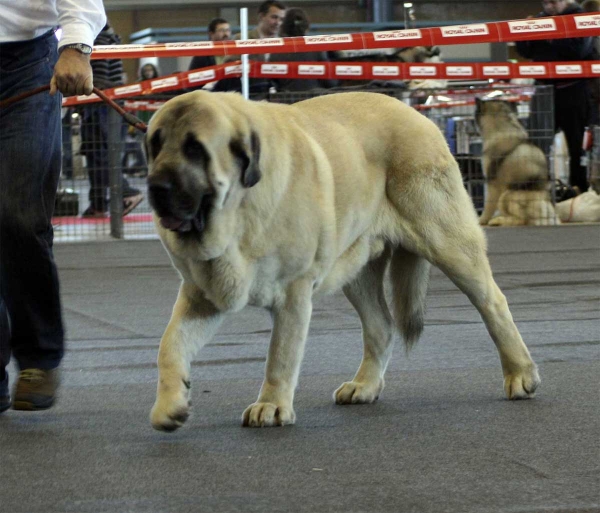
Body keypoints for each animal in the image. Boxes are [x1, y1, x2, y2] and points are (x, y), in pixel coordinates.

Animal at [145, 91, 540, 428]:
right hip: (357, 268)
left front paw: (271, 405)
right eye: (155, 145)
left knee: (492, 302)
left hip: (449, 243)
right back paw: (364, 385)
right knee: (381, 325)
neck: (238, 212)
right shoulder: (202, 297)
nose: (155, 187)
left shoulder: (292, 294)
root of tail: (417, 116)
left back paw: (521, 374)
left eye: (195, 149)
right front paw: (170, 405)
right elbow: (170, 345)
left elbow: (280, 355)